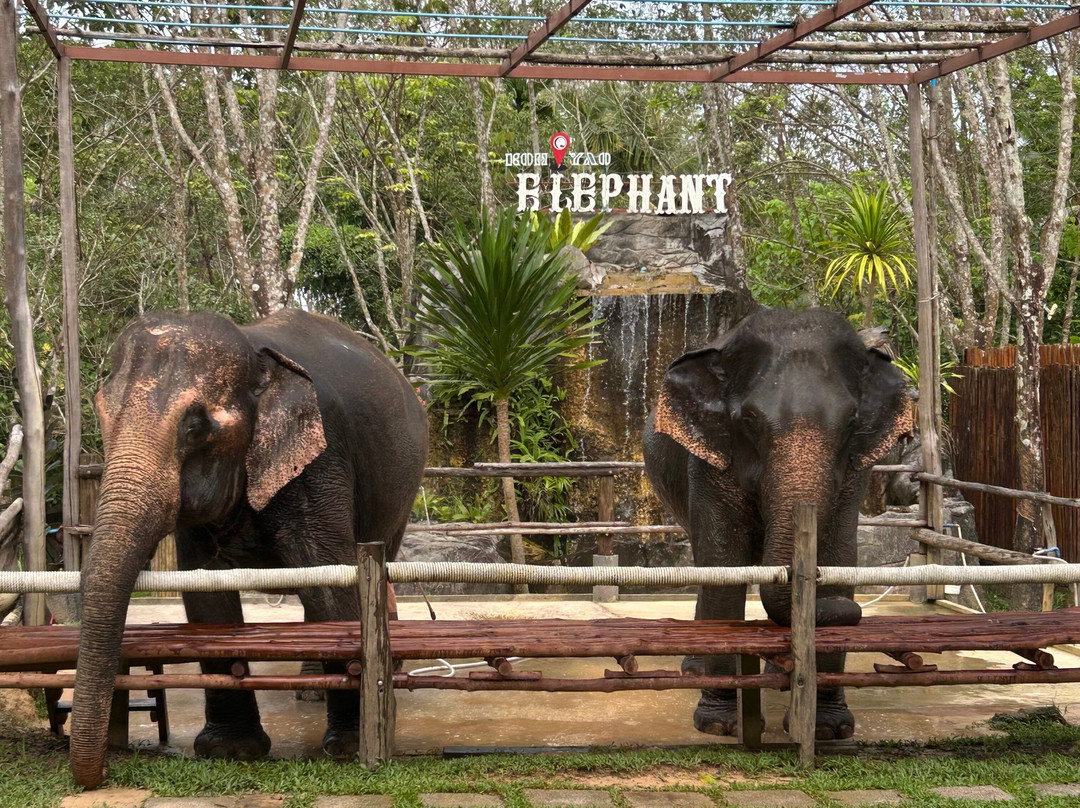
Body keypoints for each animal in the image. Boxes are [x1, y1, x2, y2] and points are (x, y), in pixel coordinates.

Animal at [70, 308, 428, 789]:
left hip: (401, 492)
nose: (104, 771)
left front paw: (352, 747)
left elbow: (332, 582)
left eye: (196, 426)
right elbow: (207, 598)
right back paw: (311, 691)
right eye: (102, 415)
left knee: (372, 563)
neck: (256, 354)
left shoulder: (322, 462)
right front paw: (231, 751)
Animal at [643, 307, 912, 741]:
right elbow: (723, 563)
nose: (852, 612)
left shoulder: (856, 471)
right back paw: (696, 669)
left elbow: (839, 555)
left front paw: (828, 729)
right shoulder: (711, 460)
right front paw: (719, 724)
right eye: (750, 420)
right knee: (704, 560)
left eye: (851, 421)